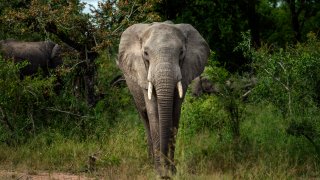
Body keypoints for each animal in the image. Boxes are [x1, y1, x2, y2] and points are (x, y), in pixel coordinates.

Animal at [117, 21, 210, 177]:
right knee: (145, 118)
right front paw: (160, 172)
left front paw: (172, 172)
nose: (165, 171)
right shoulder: (143, 74)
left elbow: (175, 113)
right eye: (146, 54)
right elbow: (153, 113)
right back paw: (150, 162)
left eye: (181, 52)